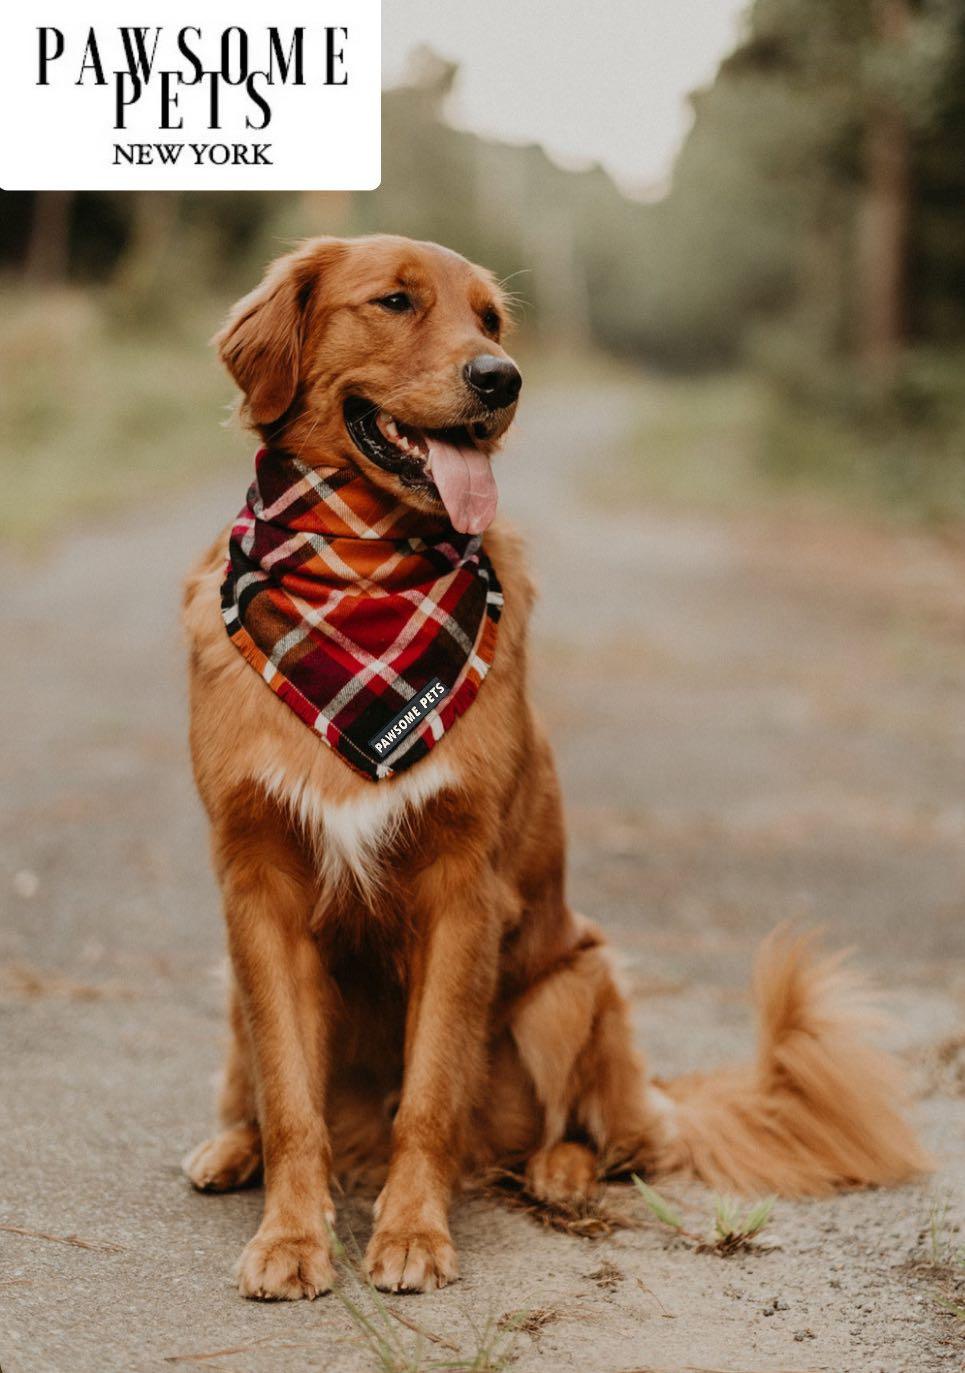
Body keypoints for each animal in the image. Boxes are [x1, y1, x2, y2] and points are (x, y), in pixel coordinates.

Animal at [181, 233, 927, 1296]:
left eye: (490, 319)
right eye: (396, 301)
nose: (502, 379)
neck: (361, 575)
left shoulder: (463, 889)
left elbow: (431, 1090)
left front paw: (413, 1232)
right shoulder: (258, 888)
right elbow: (292, 1097)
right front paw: (289, 1234)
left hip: (574, 985)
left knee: (615, 1135)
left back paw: (558, 1168)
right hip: (236, 987)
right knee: (265, 1090)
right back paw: (229, 1147)